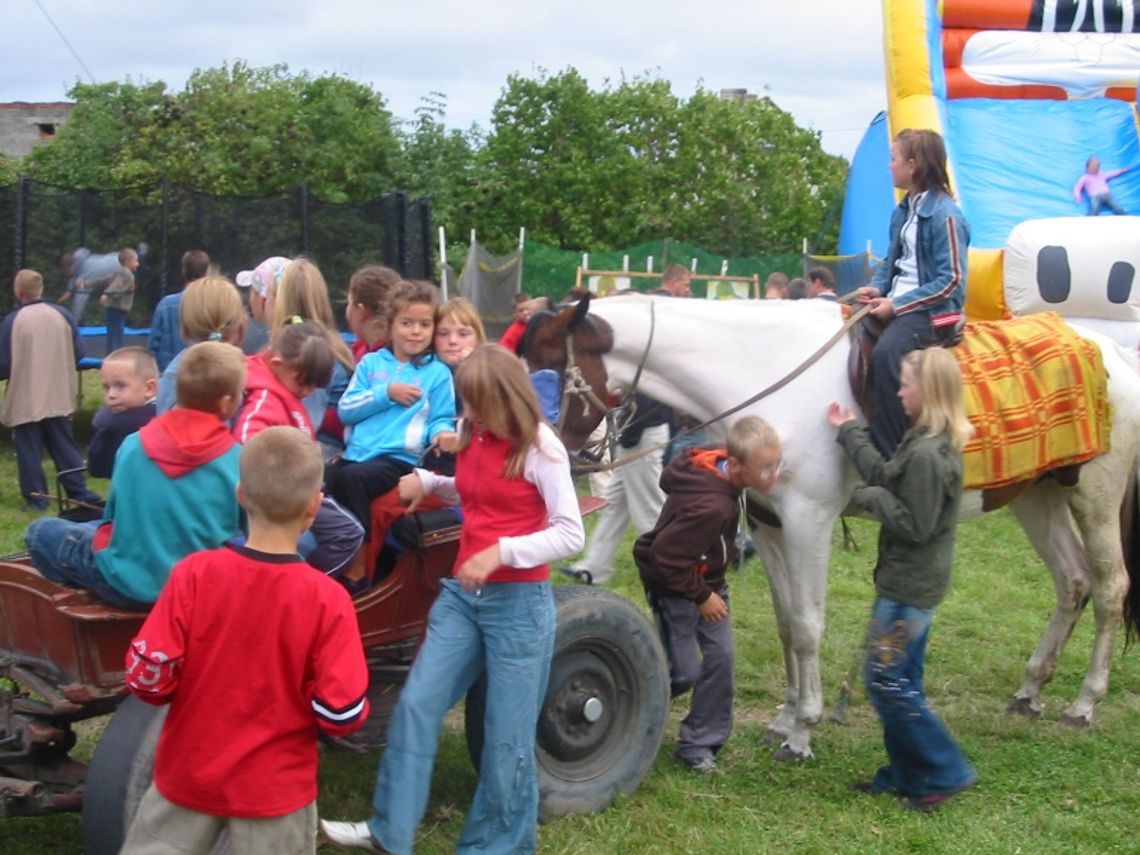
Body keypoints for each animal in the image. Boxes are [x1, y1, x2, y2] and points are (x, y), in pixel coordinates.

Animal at [528, 296, 1140, 761]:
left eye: (544, 375)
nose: (549, 459)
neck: (762, 373)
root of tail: (1113, 352)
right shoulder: (771, 523)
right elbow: (784, 624)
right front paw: (784, 716)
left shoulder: (809, 522)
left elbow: (806, 626)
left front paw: (803, 730)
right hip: (1037, 496)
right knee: (1073, 582)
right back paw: (1030, 690)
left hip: (1094, 497)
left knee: (1110, 589)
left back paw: (1083, 703)